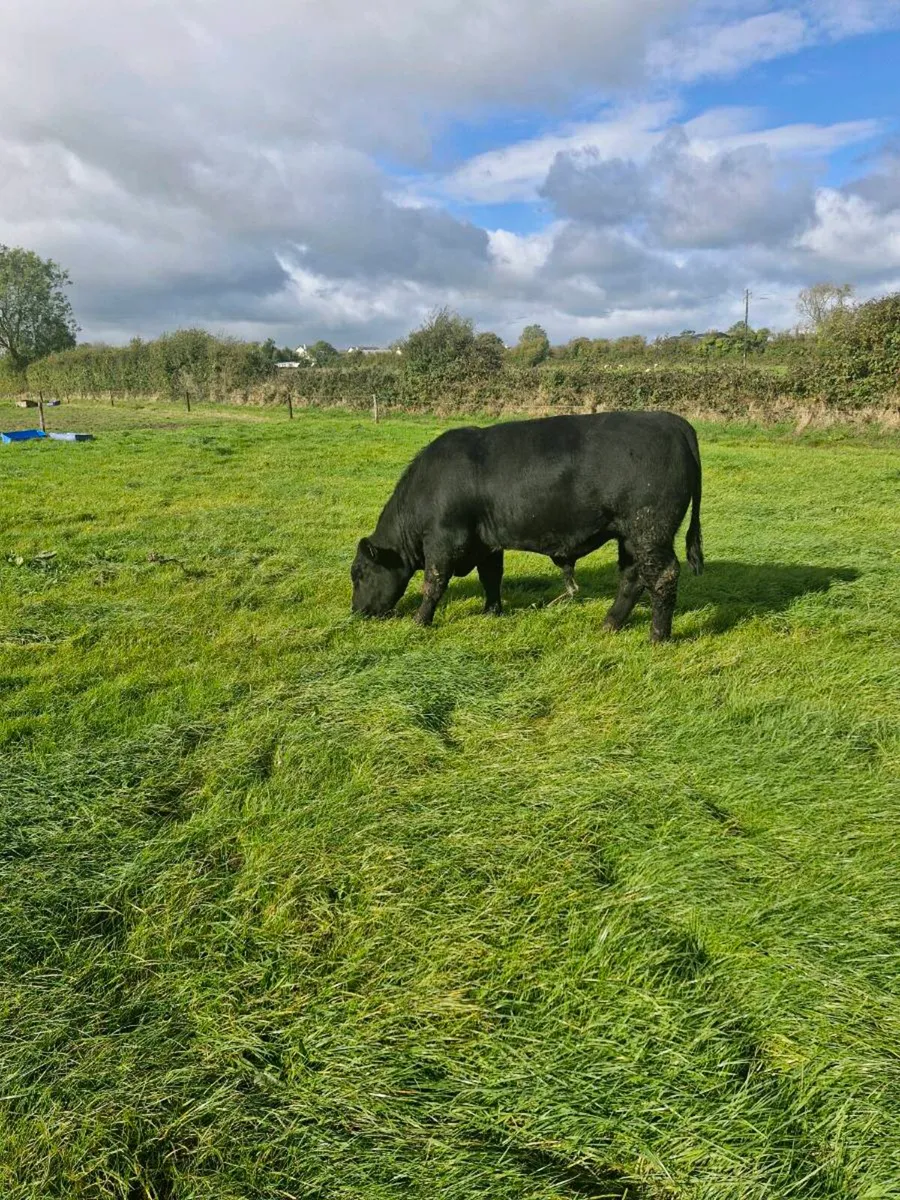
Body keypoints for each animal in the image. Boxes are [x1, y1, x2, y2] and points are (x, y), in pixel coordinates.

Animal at [350, 410, 703, 642]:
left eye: (360, 573)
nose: (356, 612)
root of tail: (672, 420)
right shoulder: (486, 543)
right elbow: (491, 577)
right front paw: (491, 611)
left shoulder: (442, 542)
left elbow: (433, 584)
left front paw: (419, 621)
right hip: (630, 536)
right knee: (632, 576)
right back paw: (610, 624)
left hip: (650, 531)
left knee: (662, 576)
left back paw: (657, 637)